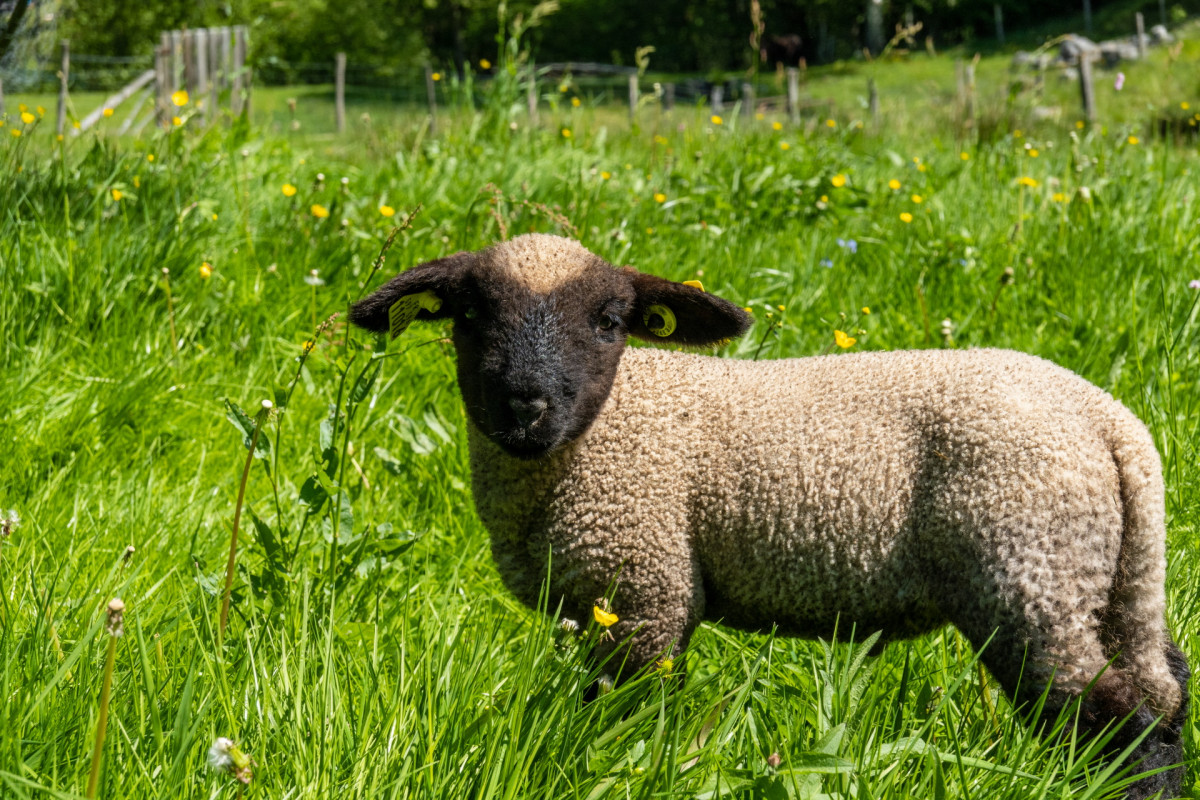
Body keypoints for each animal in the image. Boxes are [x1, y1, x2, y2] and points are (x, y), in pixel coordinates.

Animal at [348, 232, 1190, 800]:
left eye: (610, 321)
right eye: (469, 315)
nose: (525, 406)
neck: (601, 434)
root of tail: (1112, 424)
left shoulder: (644, 588)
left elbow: (623, 712)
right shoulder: (591, 601)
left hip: (1026, 567)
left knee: (1112, 712)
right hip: (1106, 575)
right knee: (1163, 688)